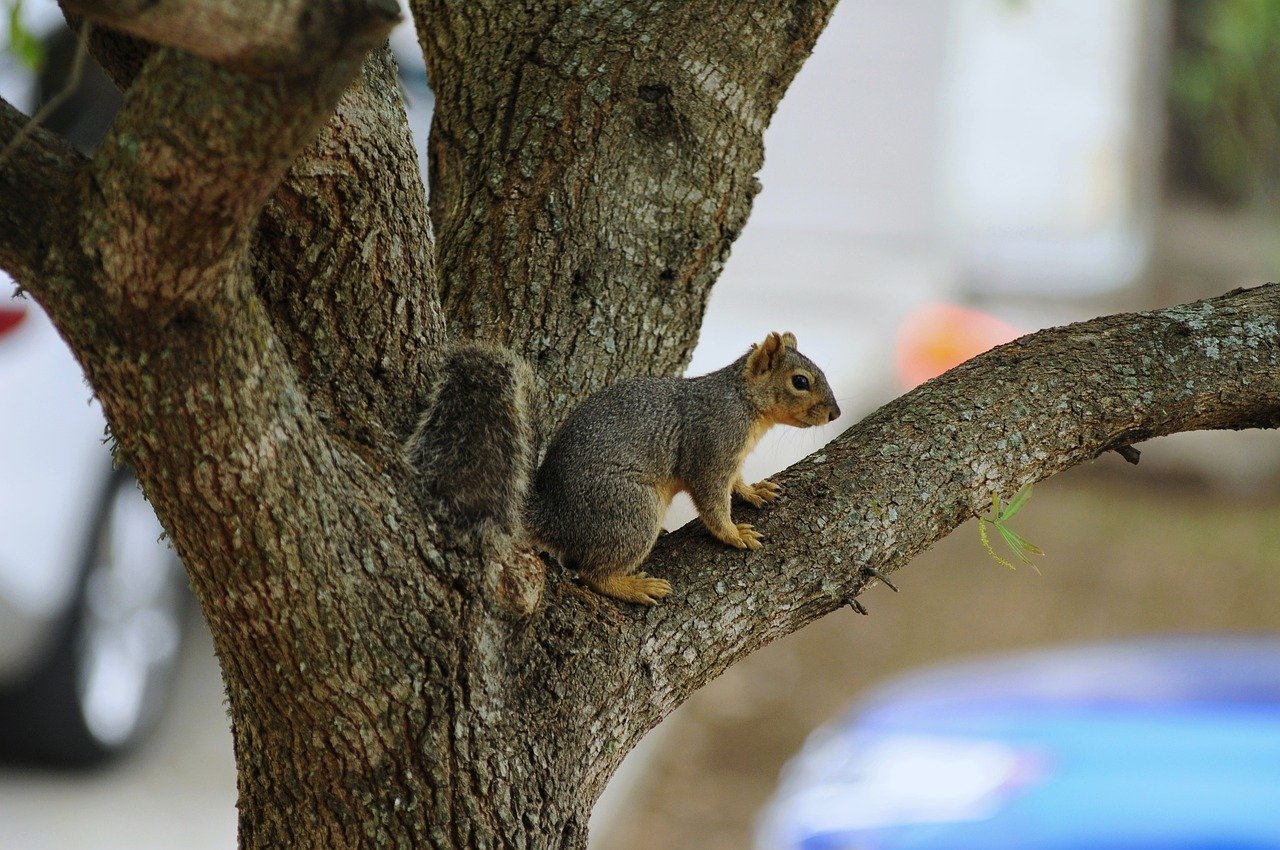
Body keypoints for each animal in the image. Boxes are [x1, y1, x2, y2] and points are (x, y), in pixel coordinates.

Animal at [406, 332, 840, 607]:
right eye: (800, 381)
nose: (835, 413)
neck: (744, 402)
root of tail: (554, 516)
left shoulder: (730, 459)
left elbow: (735, 482)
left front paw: (753, 491)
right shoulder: (711, 447)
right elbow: (712, 500)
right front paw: (733, 534)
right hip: (630, 509)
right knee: (591, 573)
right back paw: (633, 587)